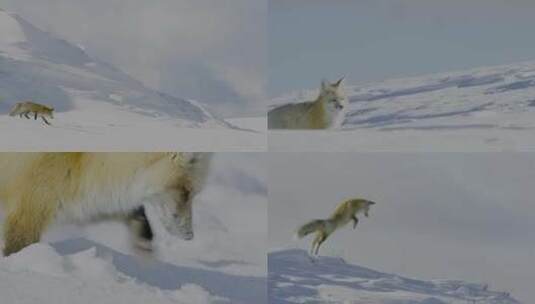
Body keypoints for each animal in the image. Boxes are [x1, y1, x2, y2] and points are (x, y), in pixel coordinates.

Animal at [0, 152, 214, 256]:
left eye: (193, 193)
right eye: (186, 192)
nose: (190, 236)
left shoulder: (92, 201)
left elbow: (138, 217)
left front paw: (144, 247)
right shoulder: (28, 213)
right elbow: (17, 247)